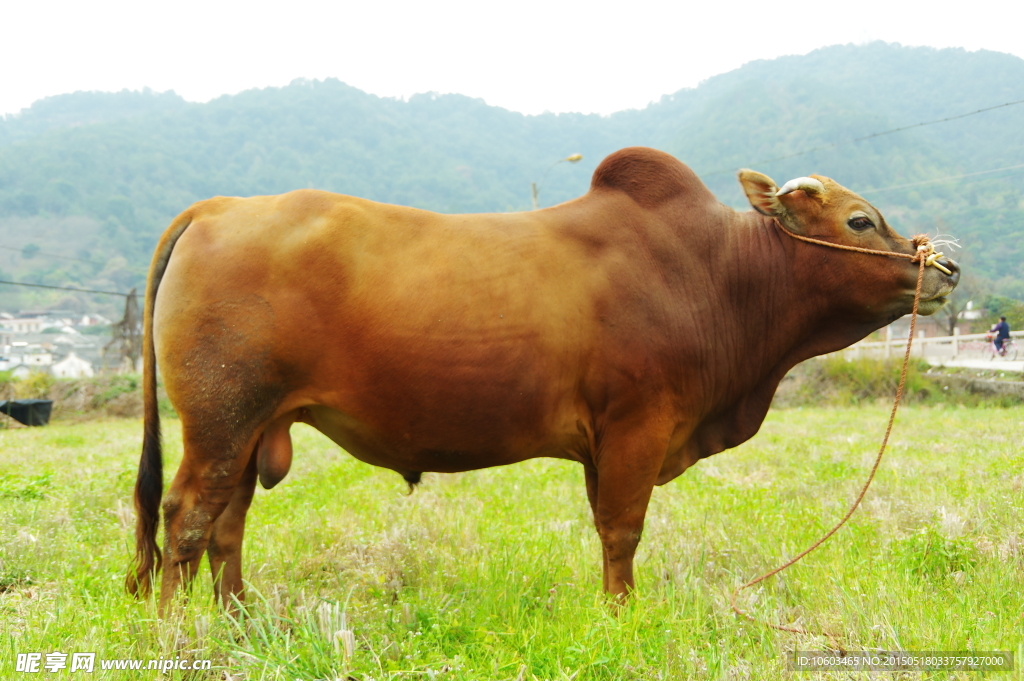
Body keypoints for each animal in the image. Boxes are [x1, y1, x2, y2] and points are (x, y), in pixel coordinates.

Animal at [128, 147, 958, 606]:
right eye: (859, 220)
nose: (943, 268)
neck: (716, 273)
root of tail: (221, 207)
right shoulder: (636, 426)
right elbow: (623, 530)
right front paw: (623, 616)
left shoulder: (604, 442)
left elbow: (608, 529)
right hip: (219, 419)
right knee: (185, 519)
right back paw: (176, 634)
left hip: (246, 427)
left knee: (226, 525)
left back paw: (239, 620)